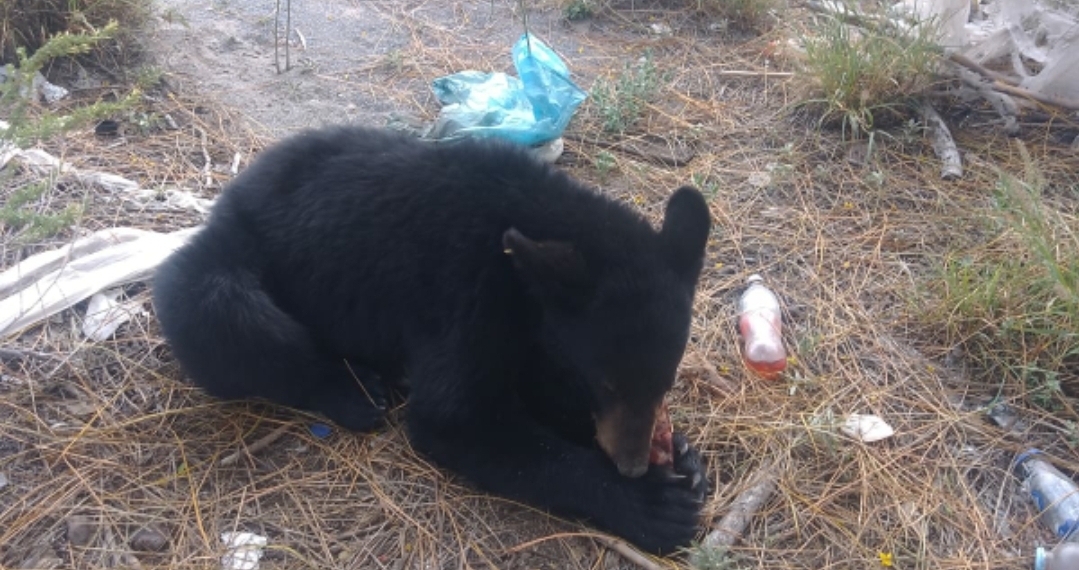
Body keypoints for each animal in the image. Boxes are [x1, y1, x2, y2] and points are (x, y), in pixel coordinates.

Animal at [152, 125, 712, 554]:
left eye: (666, 382)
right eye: (607, 381)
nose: (632, 466)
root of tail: (227, 199)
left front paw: (682, 455)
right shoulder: (467, 292)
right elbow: (457, 416)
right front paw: (648, 503)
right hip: (227, 267)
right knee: (233, 315)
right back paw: (353, 390)